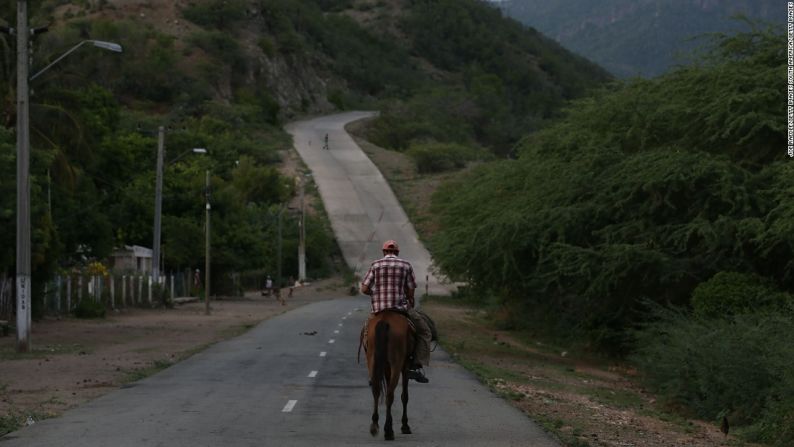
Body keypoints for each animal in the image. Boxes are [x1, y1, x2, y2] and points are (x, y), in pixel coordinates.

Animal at [366, 312, 414, 440]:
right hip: (396, 364)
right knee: (390, 395)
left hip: (372, 361)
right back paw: (388, 430)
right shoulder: (405, 366)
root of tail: (384, 320)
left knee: (376, 391)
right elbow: (405, 396)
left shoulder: (387, 368)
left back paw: (375, 425)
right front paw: (405, 425)